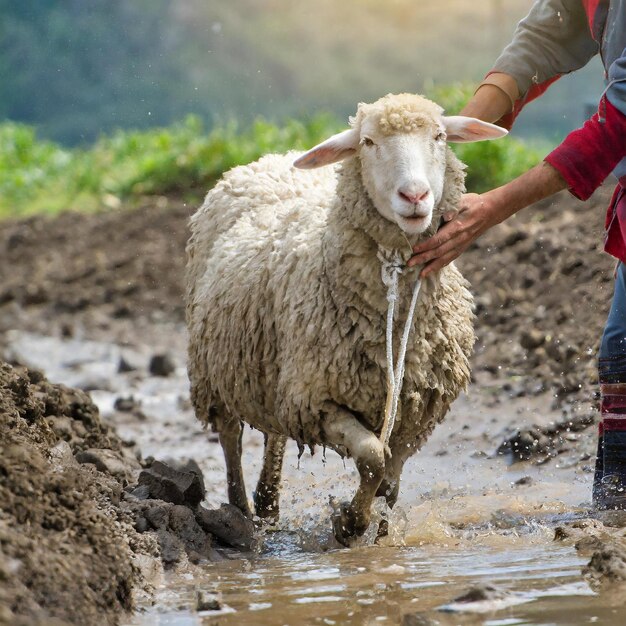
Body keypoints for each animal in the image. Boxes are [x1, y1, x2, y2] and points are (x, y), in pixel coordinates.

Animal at [183, 91, 504, 540]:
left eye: (440, 137)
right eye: (368, 142)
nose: (415, 197)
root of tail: (272, 159)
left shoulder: (415, 409)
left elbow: (390, 478)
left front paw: (380, 530)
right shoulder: (317, 399)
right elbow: (372, 456)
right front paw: (350, 523)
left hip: (271, 367)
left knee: (274, 431)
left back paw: (268, 502)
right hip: (216, 368)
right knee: (230, 436)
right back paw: (241, 509)